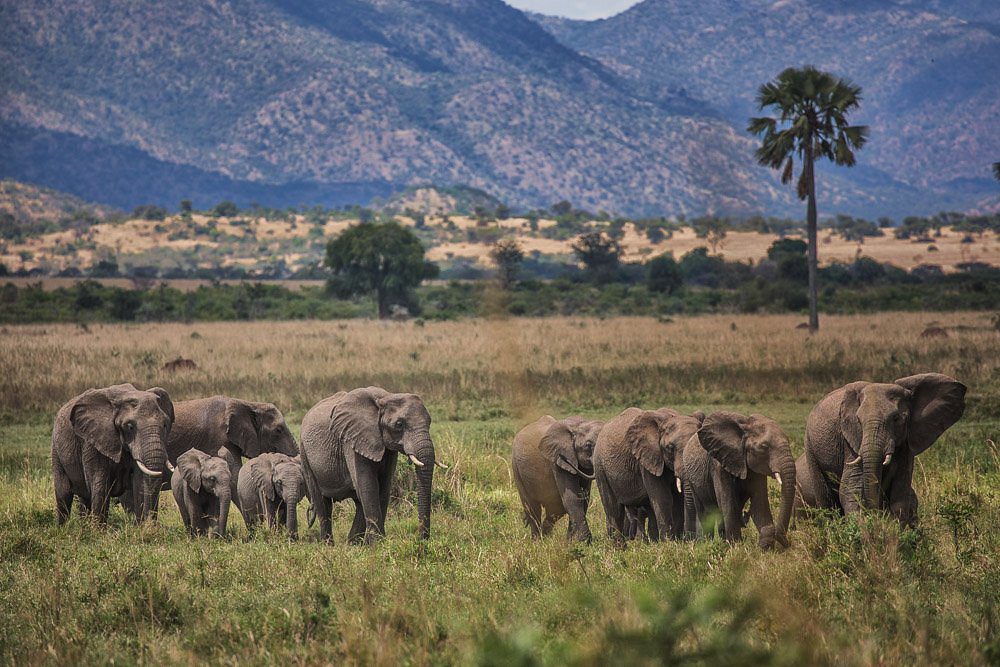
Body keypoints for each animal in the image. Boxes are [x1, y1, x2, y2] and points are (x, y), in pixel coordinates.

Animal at [51, 383, 174, 524]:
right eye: (130, 426)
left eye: (165, 425)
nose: (149, 524)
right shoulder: (93, 441)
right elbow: (100, 484)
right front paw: (98, 530)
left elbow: (139, 482)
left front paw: (141, 528)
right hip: (56, 449)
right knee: (63, 493)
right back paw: (64, 527)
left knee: (84, 497)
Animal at [299, 387, 445, 544]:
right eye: (399, 424)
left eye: (430, 422)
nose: (422, 540)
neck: (385, 397)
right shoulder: (352, 439)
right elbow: (368, 486)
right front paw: (378, 544)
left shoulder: (387, 449)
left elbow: (383, 488)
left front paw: (375, 543)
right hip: (304, 454)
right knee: (322, 502)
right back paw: (329, 544)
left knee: (357, 501)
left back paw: (352, 543)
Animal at [594, 407, 704, 543]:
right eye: (670, 447)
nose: (691, 540)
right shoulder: (646, 460)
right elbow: (663, 498)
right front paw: (669, 543)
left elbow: (678, 500)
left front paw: (675, 542)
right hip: (600, 467)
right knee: (613, 509)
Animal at [682, 411, 796, 549]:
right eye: (764, 447)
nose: (787, 543)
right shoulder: (718, 465)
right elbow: (728, 506)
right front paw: (736, 547)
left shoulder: (756, 469)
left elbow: (760, 504)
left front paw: (764, 548)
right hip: (691, 478)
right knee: (704, 511)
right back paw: (707, 544)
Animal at [795, 373, 966, 527]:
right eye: (858, 420)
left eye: (896, 419)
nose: (875, 514)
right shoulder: (851, 440)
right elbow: (852, 488)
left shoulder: (906, 441)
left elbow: (900, 491)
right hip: (810, 447)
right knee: (826, 501)